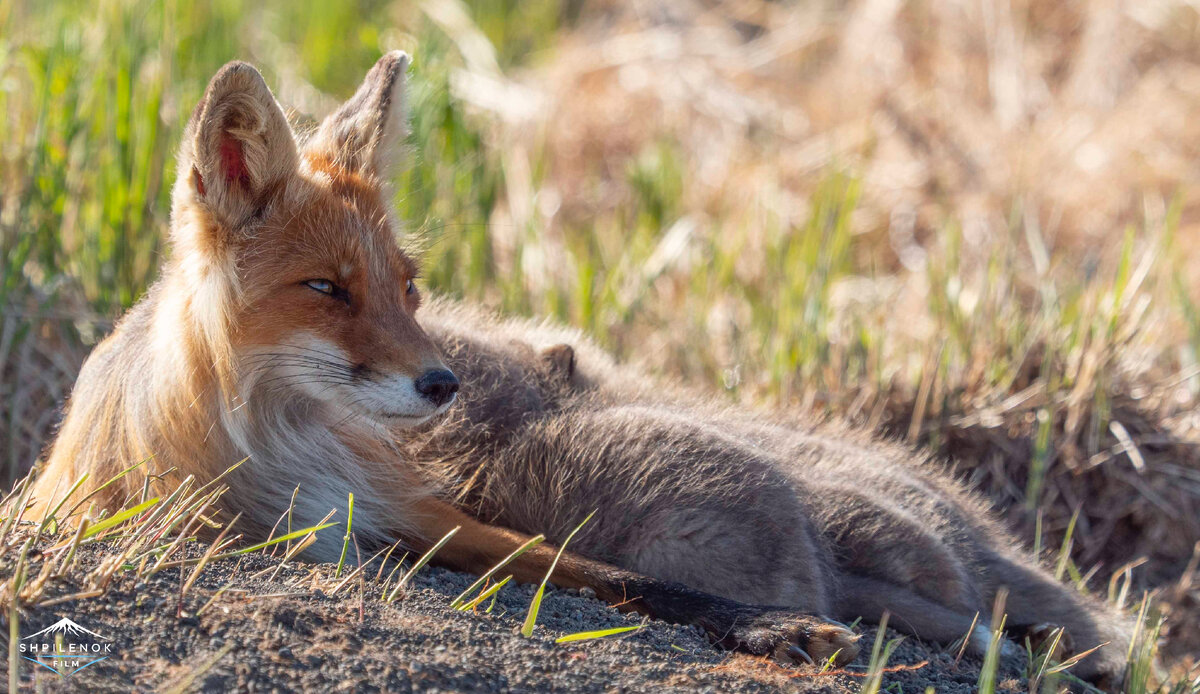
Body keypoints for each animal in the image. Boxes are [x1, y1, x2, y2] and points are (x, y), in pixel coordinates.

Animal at [28, 54, 1132, 681]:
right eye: (327, 289)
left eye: (408, 286)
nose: (442, 385)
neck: (287, 454)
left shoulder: (422, 510)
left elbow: (622, 580)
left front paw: (772, 628)